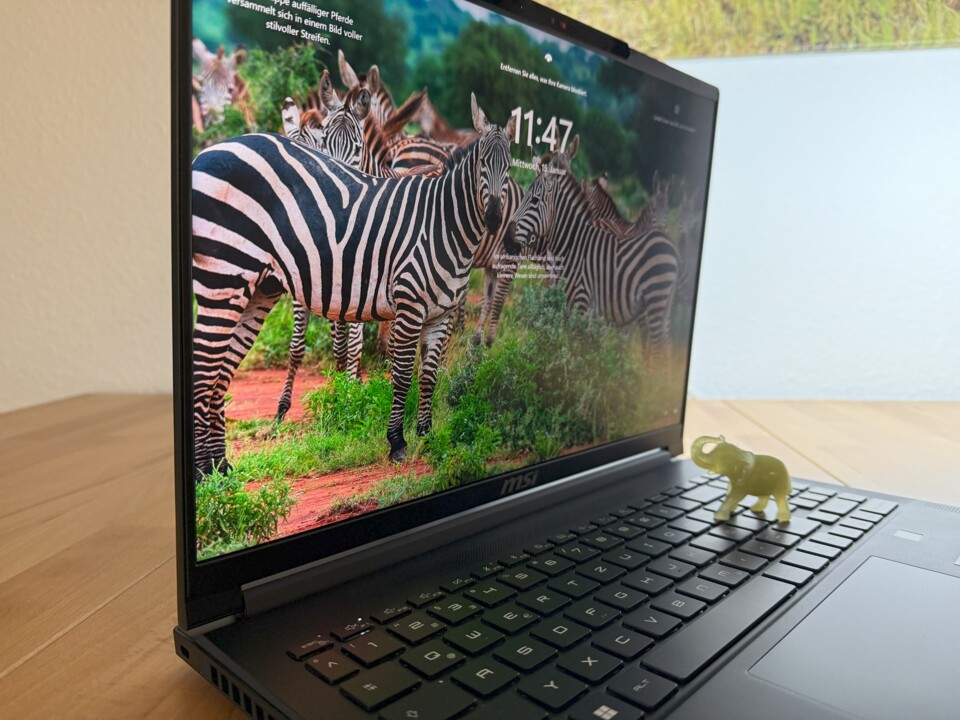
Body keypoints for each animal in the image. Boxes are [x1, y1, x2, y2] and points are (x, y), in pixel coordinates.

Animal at [191, 94, 517, 475]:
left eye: (510, 168)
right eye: (481, 164)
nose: (494, 219)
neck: (443, 226)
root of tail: (205, 154)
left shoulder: (442, 314)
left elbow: (429, 375)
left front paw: (426, 435)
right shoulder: (409, 304)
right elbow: (402, 374)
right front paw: (397, 442)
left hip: (257, 287)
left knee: (221, 371)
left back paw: (219, 465)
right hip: (223, 277)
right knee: (204, 368)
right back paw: (204, 472)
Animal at [512, 137, 679, 365]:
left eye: (535, 201)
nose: (508, 232)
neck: (572, 243)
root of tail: (670, 244)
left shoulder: (581, 303)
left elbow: (577, 351)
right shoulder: (567, 304)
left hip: (655, 299)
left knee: (655, 350)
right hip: (664, 306)